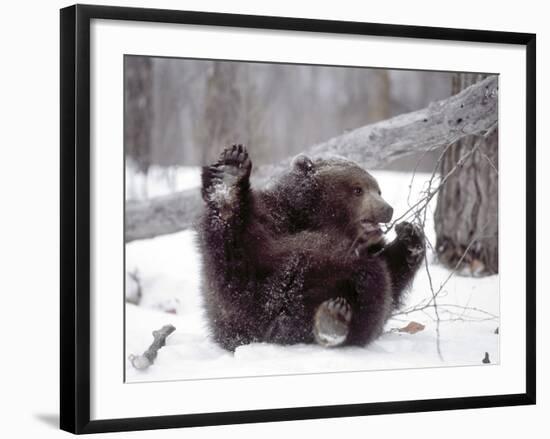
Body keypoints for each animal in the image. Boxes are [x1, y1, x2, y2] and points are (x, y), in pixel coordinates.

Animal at [198, 146, 426, 352]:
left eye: (378, 190)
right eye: (357, 189)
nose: (387, 209)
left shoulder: (368, 248)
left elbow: (392, 278)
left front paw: (411, 238)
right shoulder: (272, 218)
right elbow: (233, 261)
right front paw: (229, 175)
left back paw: (332, 319)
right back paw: (229, 181)